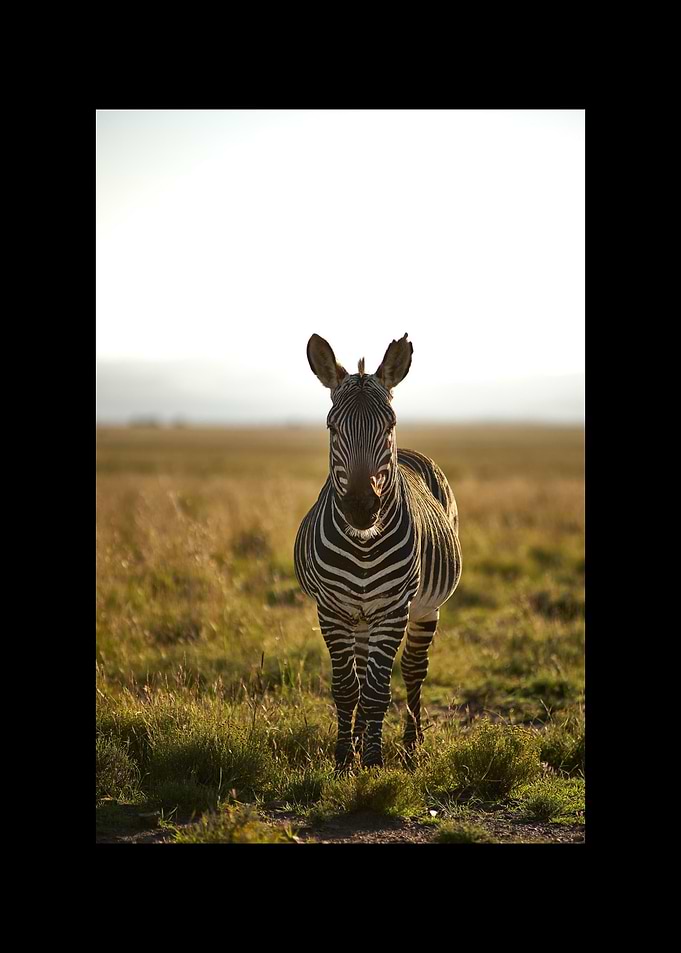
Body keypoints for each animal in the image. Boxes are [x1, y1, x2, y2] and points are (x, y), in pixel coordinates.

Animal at [294, 333, 462, 770]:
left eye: (390, 425)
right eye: (332, 426)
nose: (360, 507)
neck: (363, 544)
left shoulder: (393, 610)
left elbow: (375, 691)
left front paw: (372, 761)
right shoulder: (331, 610)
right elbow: (346, 688)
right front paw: (343, 758)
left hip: (423, 609)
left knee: (413, 670)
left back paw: (411, 744)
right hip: (360, 617)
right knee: (360, 669)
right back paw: (357, 740)